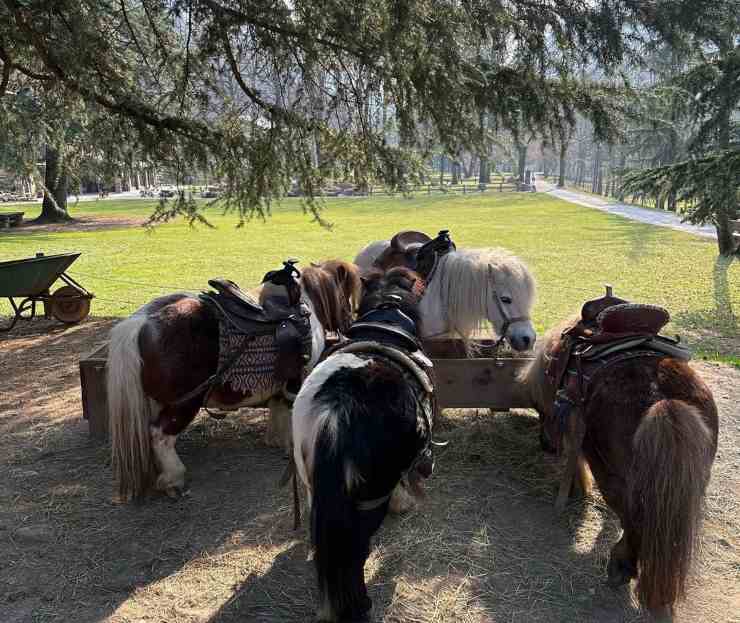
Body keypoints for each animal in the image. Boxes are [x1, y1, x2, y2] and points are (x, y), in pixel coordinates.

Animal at [107, 260, 362, 502]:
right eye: (346, 296)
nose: (349, 325)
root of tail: (140, 322)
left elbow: (277, 409)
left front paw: (275, 440)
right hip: (184, 403)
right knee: (160, 435)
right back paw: (174, 479)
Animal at [292, 268, 436, 623]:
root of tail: (341, 405)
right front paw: (404, 503)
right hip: (370, 499)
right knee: (355, 549)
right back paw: (359, 605)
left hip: (315, 483)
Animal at [520, 316, 716, 620]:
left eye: (540, 410)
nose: (546, 445)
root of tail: (664, 400)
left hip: (614, 478)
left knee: (634, 522)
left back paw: (620, 567)